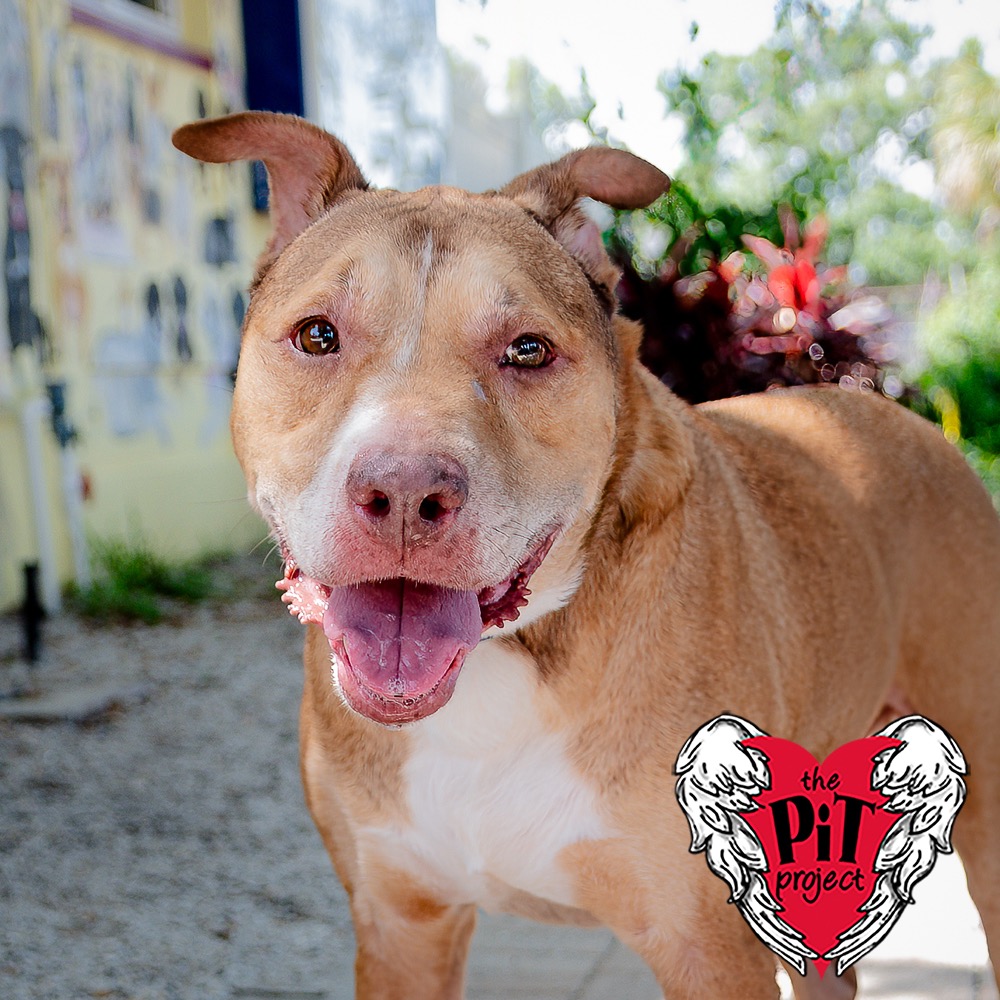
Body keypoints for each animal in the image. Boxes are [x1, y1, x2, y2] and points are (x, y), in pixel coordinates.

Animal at [173, 112, 1000, 999]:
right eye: (317, 335)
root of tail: (903, 417)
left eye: (529, 350)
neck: (506, 662)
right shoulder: (401, 927)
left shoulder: (710, 951)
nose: (403, 489)